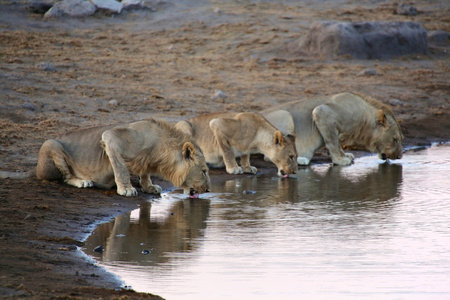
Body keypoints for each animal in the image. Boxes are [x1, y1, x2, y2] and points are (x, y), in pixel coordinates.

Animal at [0, 118, 211, 198]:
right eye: (204, 171)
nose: (209, 190)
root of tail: (34, 168)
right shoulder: (111, 137)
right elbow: (121, 168)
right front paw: (126, 189)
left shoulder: (146, 162)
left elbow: (145, 172)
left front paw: (149, 186)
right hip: (51, 144)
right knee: (65, 177)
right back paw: (83, 181)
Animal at [260, 92, 404, 165]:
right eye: (395, 139)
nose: (400, 157)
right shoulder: (321, 112)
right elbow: (332, 142)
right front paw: (340, 160)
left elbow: (337, 143)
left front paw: (345, 154)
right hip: (286, 115)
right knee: (269, 155)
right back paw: (301, 159)